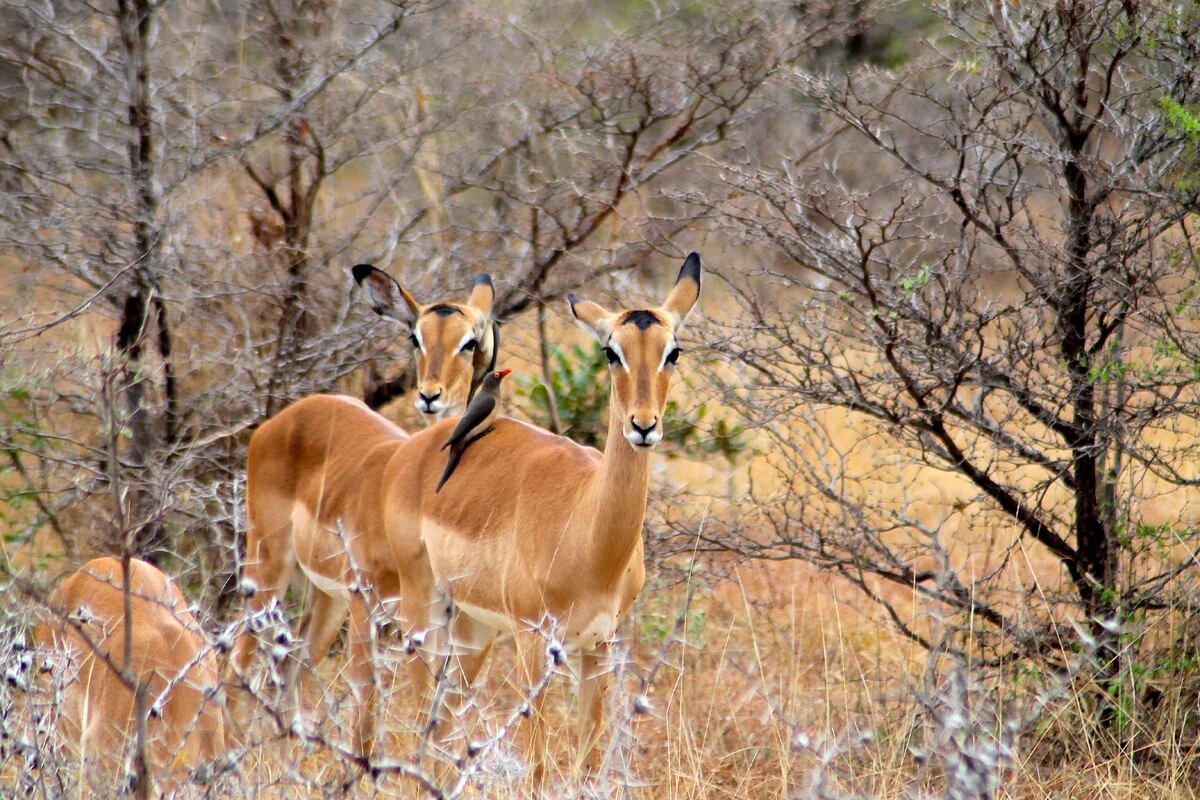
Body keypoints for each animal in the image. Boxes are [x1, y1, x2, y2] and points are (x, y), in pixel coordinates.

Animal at [229, 266, 496, 725]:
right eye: (415, 337)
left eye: (469, 342)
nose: (430, 395)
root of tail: (280, 419)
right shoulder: (366, 603)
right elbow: (367, 711)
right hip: (268, 571)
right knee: (238, 664)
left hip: (324, 597)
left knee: (292, 670)